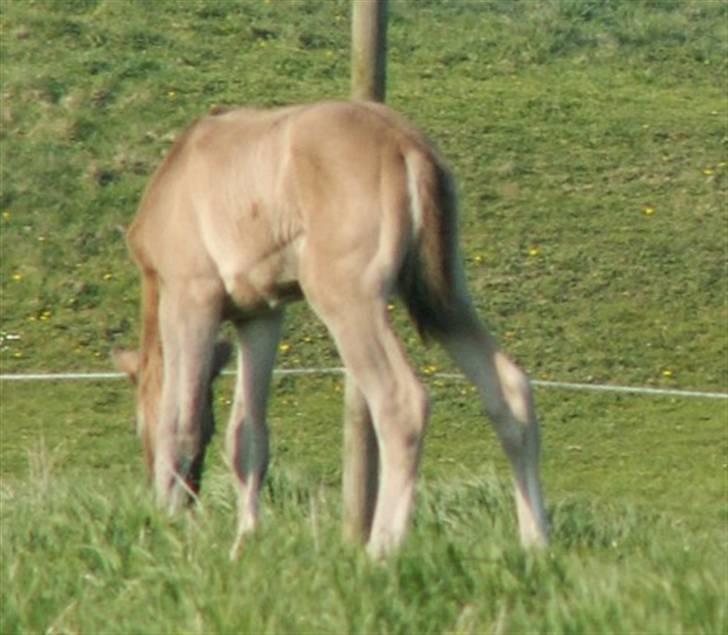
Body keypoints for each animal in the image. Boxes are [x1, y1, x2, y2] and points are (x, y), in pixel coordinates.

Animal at [114, 102, 544, 560]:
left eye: (135, 426)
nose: (191, 497)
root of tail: (406, 145)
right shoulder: (260, 314)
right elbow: (247, 436)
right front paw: (245, 541)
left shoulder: (191, 295)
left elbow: (180, 420)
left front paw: (162, 532)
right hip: (443, 297)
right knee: (510, 389)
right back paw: (536, 543)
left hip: (346, 295)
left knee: (401, 400)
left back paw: (380, 550)